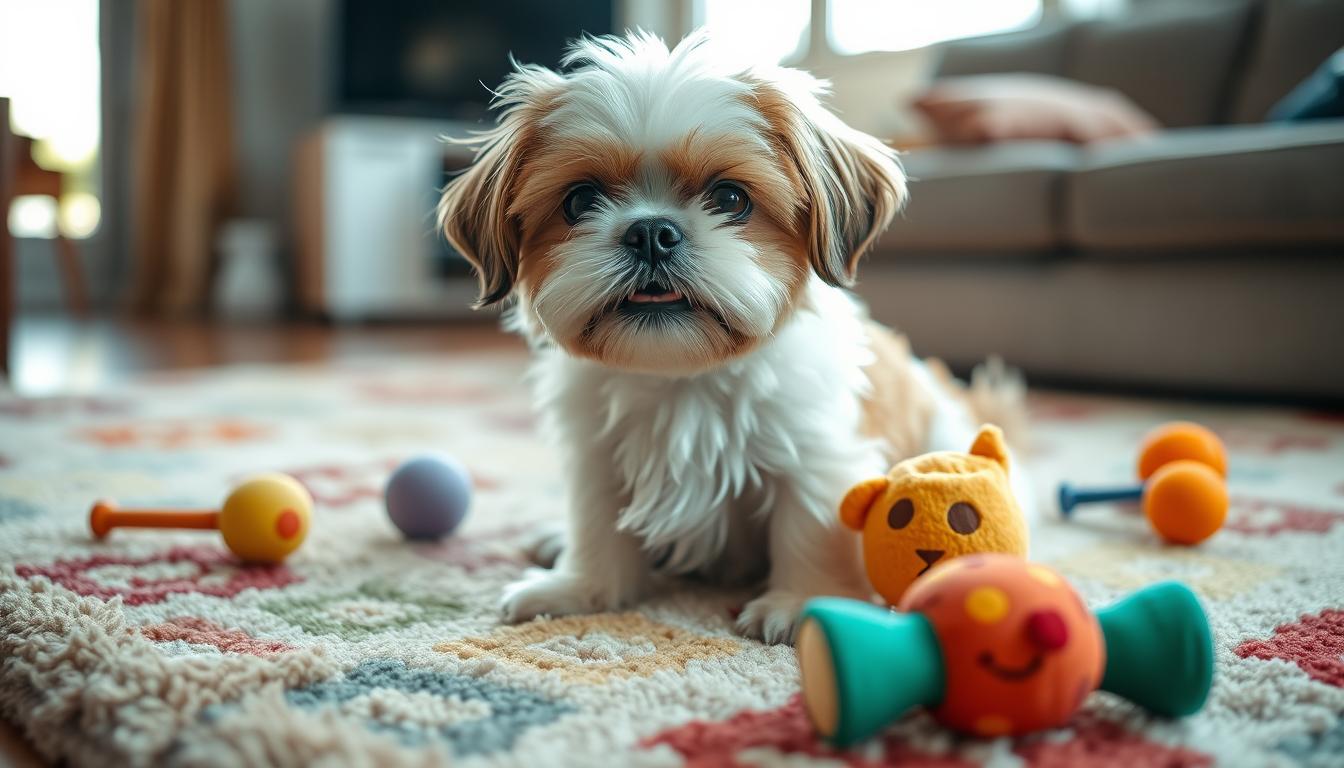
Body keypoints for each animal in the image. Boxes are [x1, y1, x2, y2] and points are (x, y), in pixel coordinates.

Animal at [435, 30, 1021, 642]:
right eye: (579, 201)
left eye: (731, 199)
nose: (651, 231)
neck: (683, 376)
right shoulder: (597, 455)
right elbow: (598, 526)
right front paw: (579, 590)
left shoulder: (815, 454)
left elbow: (808, 527)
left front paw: (799, 603)